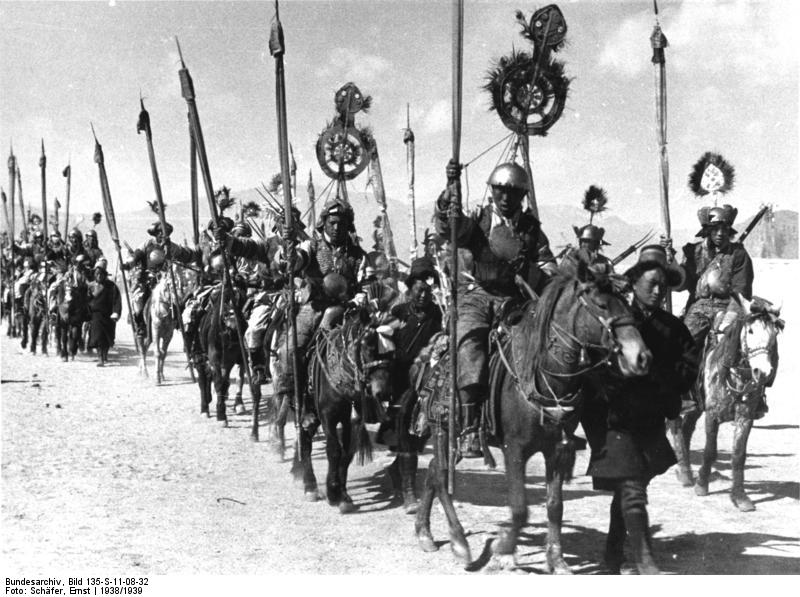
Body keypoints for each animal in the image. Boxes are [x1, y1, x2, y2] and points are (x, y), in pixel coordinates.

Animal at [406, 266, 648, 572]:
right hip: (443, 430)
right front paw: (503, 549)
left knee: (433, 472)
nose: (641, 357)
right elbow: (520, 509)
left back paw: (424, 533)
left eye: (628, 305)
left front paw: (557, 560)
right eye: (602, 305)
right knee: (439, 476)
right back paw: (459, 542)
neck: (543, 376)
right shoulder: (515, 450)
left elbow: (555, 506)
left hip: (454, 439)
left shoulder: (557, 450)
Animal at [668, 294, 780, 512]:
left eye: (773, 334)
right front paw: (702, 485)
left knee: (686, 428)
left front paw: (740, 496)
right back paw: (685, 471)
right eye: (750, 331)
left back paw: (684, 470)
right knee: (676, 426)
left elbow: (738, 455)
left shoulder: (745, 418)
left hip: (697, 406)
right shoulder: (712, 415)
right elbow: (710, 450)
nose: (762, 372)